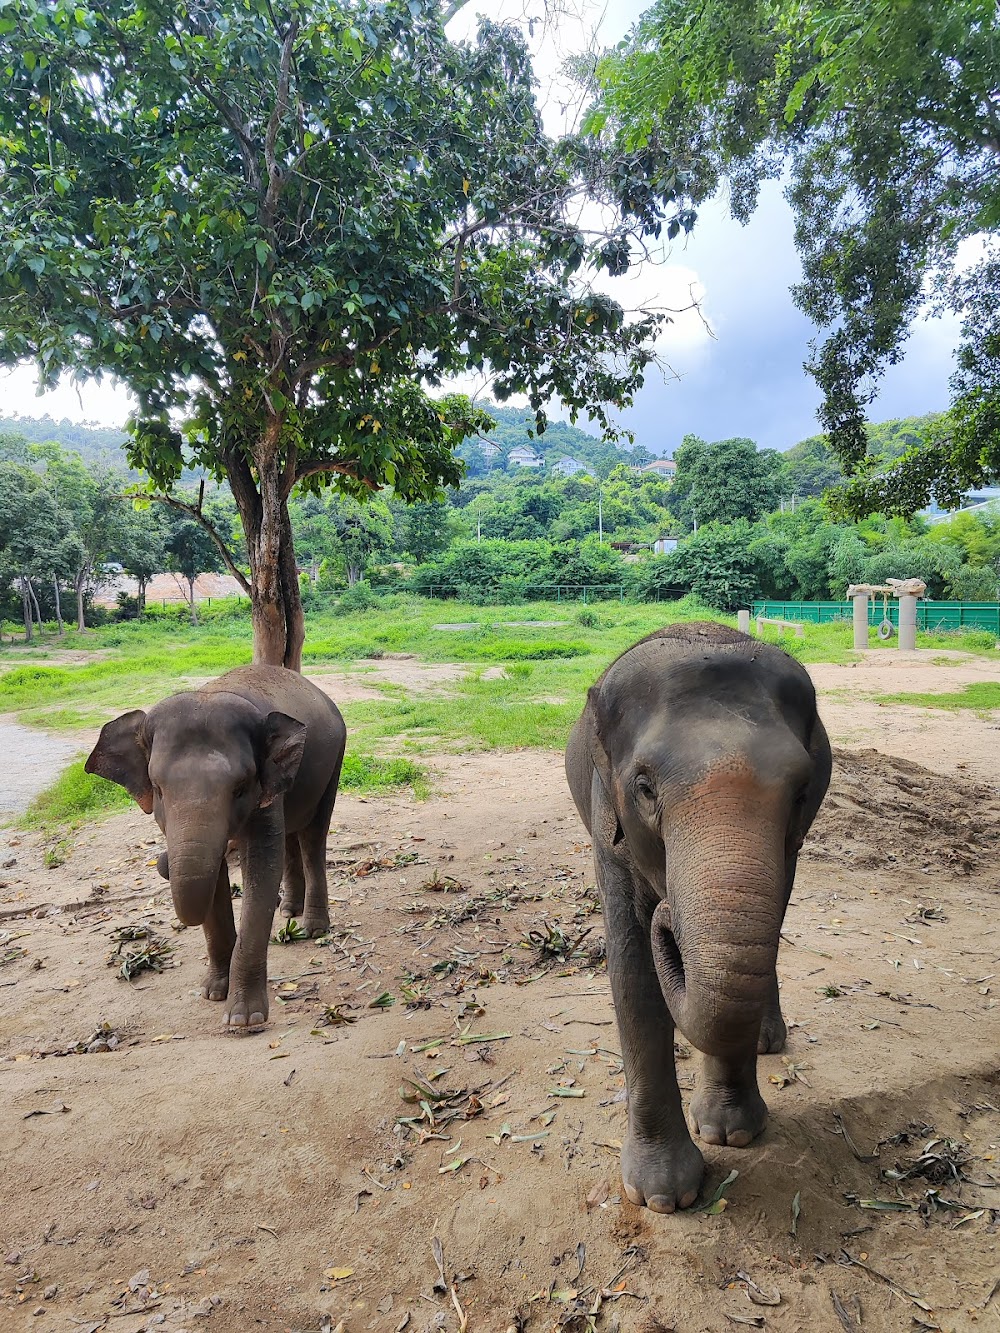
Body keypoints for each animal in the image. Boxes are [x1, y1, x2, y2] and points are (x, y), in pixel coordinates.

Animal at [87, 666, 352, 1029]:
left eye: (240, 788)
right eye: (157, 789)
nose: (163, 861)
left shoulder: (265, 788)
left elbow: (262, 868)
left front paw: (244, 1017)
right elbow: (215, 878)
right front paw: (213, 992)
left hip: (335, 759)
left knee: (313, 835)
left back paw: (312, 929)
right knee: (291, 836)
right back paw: (288, 911)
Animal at [568, 618, 832, 1215]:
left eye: (802, 791)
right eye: (644, 788)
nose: (669, 916)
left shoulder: (790, 844)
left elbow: (769, 922)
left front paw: (732, 1134)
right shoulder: (607, 816)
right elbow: (632, 967)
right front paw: (661, 1197)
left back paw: (766, 1042)